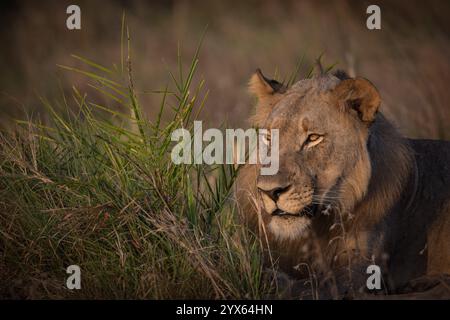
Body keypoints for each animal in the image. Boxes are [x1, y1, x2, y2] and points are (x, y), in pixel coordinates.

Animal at [236, 68, 450, 300]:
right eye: (269, 138)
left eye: (313, 138)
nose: (270, 191)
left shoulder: (362, 272)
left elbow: (314, 285)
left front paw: (268, 279)